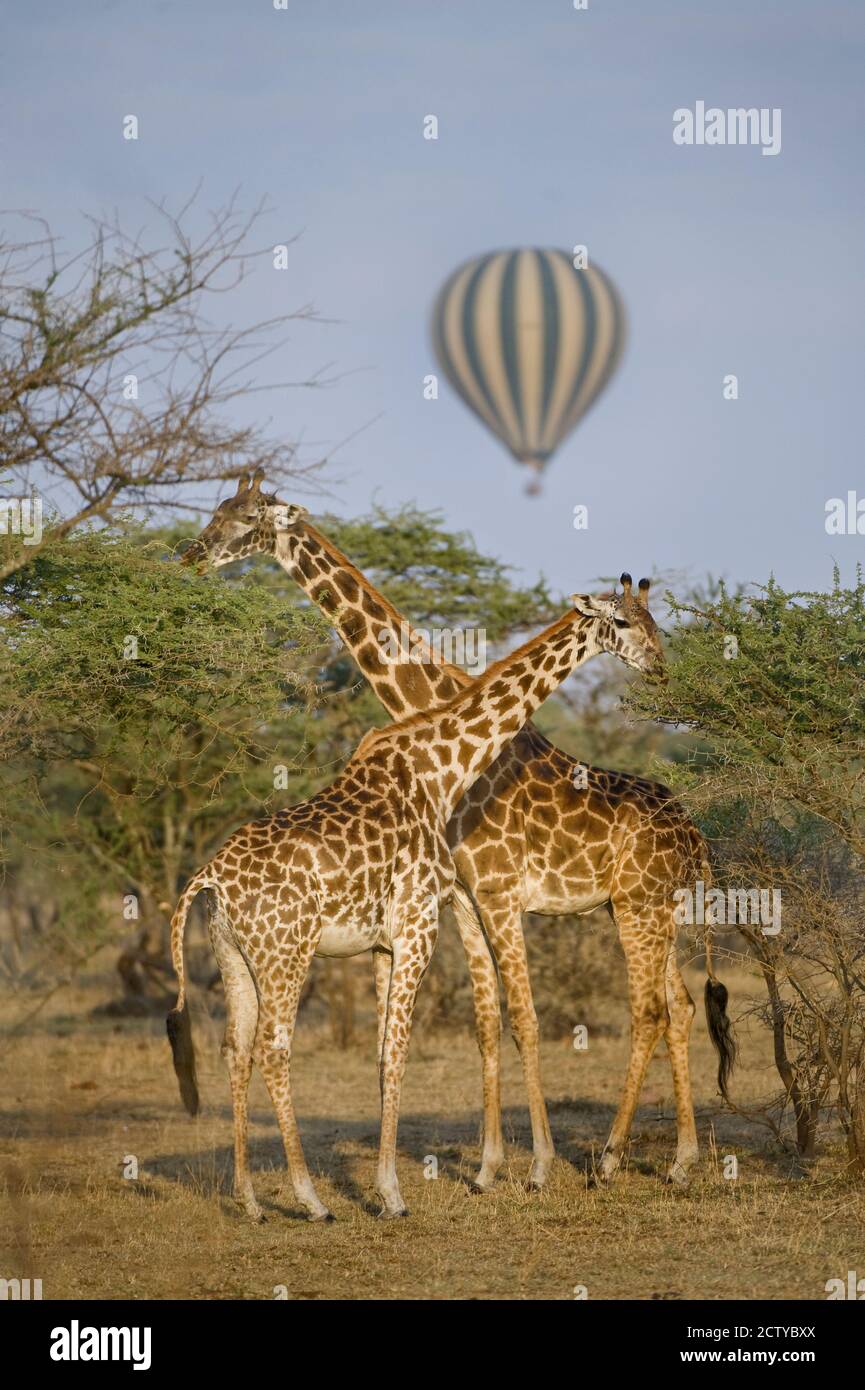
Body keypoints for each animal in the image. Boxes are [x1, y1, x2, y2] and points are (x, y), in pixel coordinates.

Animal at [171, 472, 739, 1212]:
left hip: (640, 907)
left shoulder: (491, 896)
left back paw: (621, 1160)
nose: (192, 554)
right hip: (648, 910)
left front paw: (531, 1168)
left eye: (243, 519)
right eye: (220, 512)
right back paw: (677, 1160)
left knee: (651, 1009)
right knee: (676, 1006)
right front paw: (490, 1168)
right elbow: (485, 1025)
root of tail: (695, 833)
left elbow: (517, 1022)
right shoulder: (465, 902)